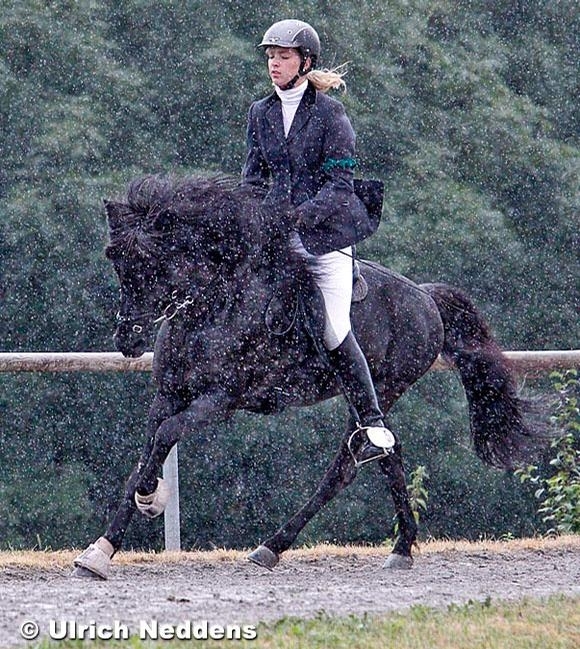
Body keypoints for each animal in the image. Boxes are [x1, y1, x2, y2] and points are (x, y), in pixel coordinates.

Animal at [72, 175, 544, 580]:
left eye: (149, 261)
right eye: (116, 260)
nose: (127, 337)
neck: (215, 304)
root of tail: (426, 298)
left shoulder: (220, 400)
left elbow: (165, 436)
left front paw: (152, 498)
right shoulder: (168, 395)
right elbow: (146, 452)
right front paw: (101, 550)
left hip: (381, 387)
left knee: (348, 465)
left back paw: (287, 546)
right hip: (367, 396)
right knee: (388, 454)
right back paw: (394, 548)